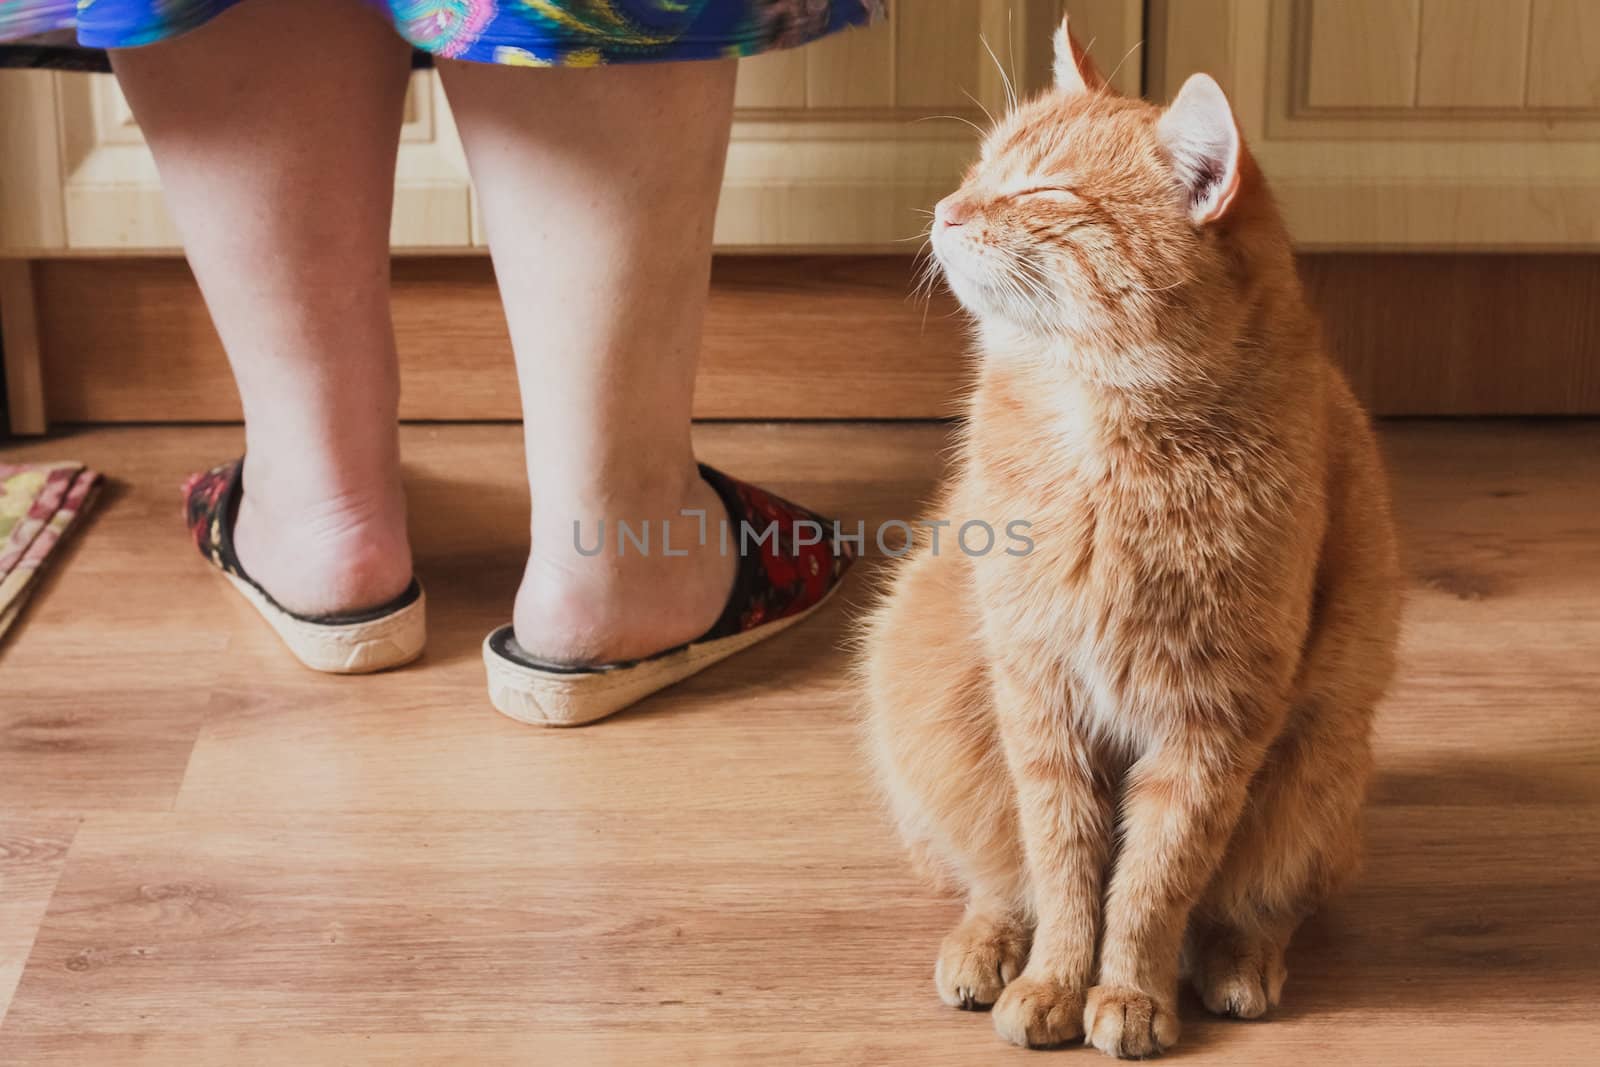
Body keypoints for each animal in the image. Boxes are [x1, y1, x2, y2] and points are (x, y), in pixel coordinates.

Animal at [864, 18, 1401, 1062]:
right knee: (1000, 876)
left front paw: (1129, 991)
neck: (1105, 444)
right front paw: (1054, 983)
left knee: (1263, 900)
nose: (946, 209)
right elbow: (1065, 863)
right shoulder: (1040, 698)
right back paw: (988, 947)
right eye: (982, 166)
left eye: (1043, 192)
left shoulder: (1213, 723)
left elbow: (1153, 879)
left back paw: (1238, 963)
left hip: (1318, 765)